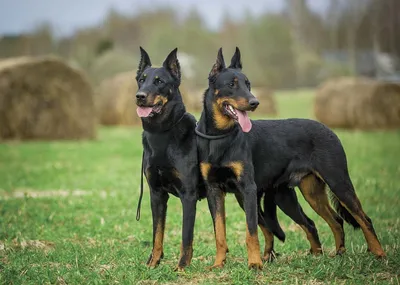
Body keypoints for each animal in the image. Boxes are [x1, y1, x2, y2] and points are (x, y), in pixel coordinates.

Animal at [136, 46, 208, 268]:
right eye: (141, 80)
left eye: (159, 82)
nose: (139, 96)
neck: (162, 134)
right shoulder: (157, 194)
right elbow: (157, 233)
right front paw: (153, 262)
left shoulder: (188, 195)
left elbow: (186, 236)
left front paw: (182, 266)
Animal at [195, 47, 386, 268]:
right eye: (231, 84)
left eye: (248, 84)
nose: (255, 102)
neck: (220, 137)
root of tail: (328, 130)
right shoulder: (214, 191)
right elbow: (220, 233)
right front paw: (219, 264)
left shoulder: (248, 189)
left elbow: (251, 232)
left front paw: (254, 264)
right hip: (301, 194)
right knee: (328, 221)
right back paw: (331, 254)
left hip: (338, 182)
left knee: (363, 219)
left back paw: (379, 253)